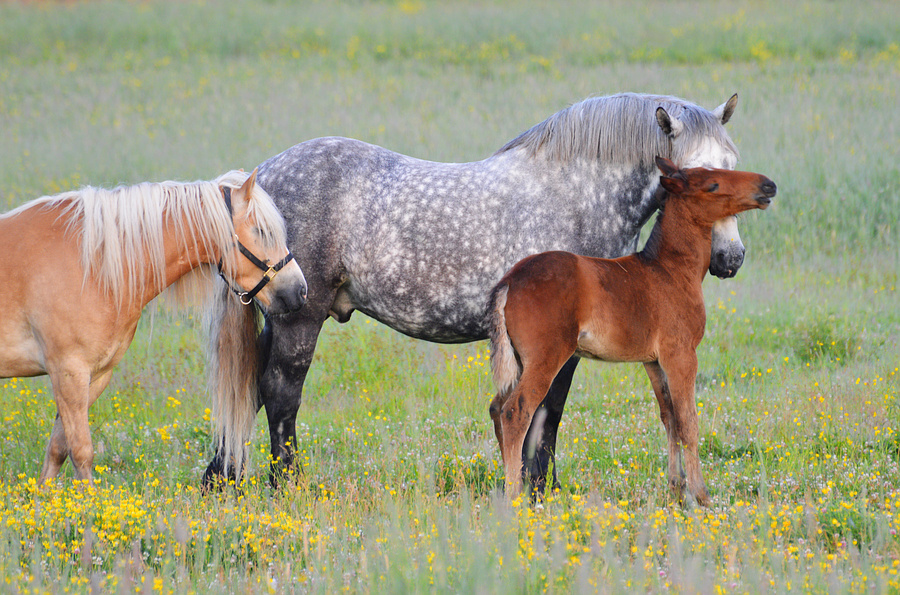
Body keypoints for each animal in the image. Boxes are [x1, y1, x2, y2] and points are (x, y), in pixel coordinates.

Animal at [0, 169, 307, 482]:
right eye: (262, 231)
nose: (300, 290)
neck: (91, 266)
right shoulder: (68, 372)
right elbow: (81, 451)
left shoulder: (94, 376)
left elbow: (58, 448)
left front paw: (44, 496)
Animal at [203, 92, 746, 490]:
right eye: (700, 180)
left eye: (733, 163)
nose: (730, 258)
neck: (576, 194)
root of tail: (258, 182)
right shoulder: (559, 345)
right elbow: (547, 414)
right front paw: (538, 489)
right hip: (300, 317)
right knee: (281, 394)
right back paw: (285, 486)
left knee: (251, 390)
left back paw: (220, 480)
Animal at [488, 157, 776, 504]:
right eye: (713, 185)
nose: (768, 186)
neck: (670, 269)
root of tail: (509, 281)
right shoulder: (681, 354)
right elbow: (689, 422)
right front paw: (701, 495)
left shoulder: (652, 360)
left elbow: (670, 417)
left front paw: (676, 490)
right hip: (546, 358)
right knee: (515, 412)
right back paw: (514, 496)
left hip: (518, 361)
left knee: (496, 408)